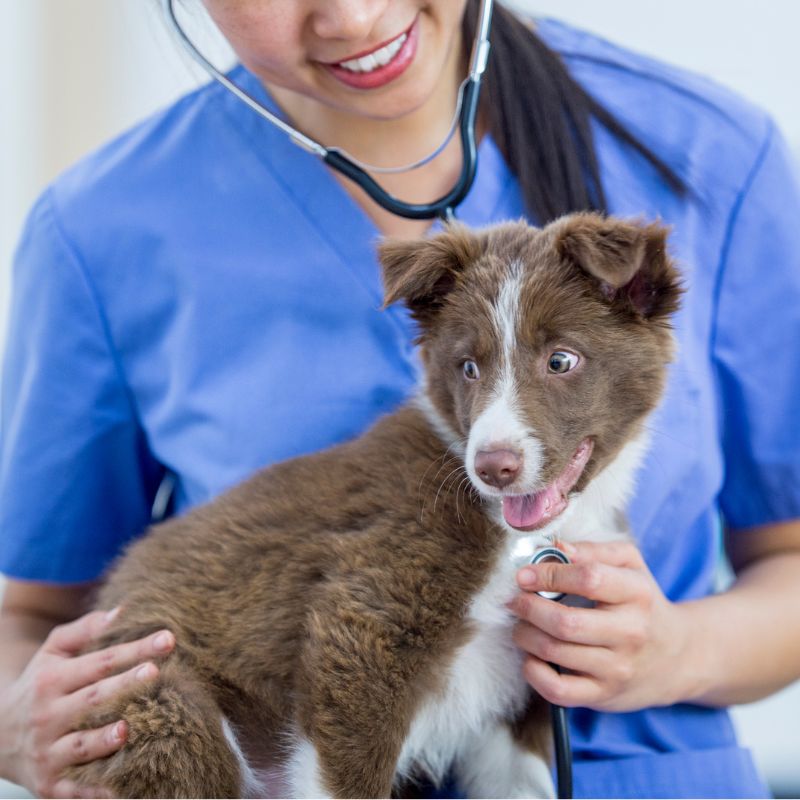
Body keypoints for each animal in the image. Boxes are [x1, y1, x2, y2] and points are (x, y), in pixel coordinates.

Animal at [70, 214, 680, 800]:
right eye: (468, 368)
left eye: (561, 361)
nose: (493, 467)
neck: (518, 535)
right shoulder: (364, 626)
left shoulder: (524, 685)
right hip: (157, 694)